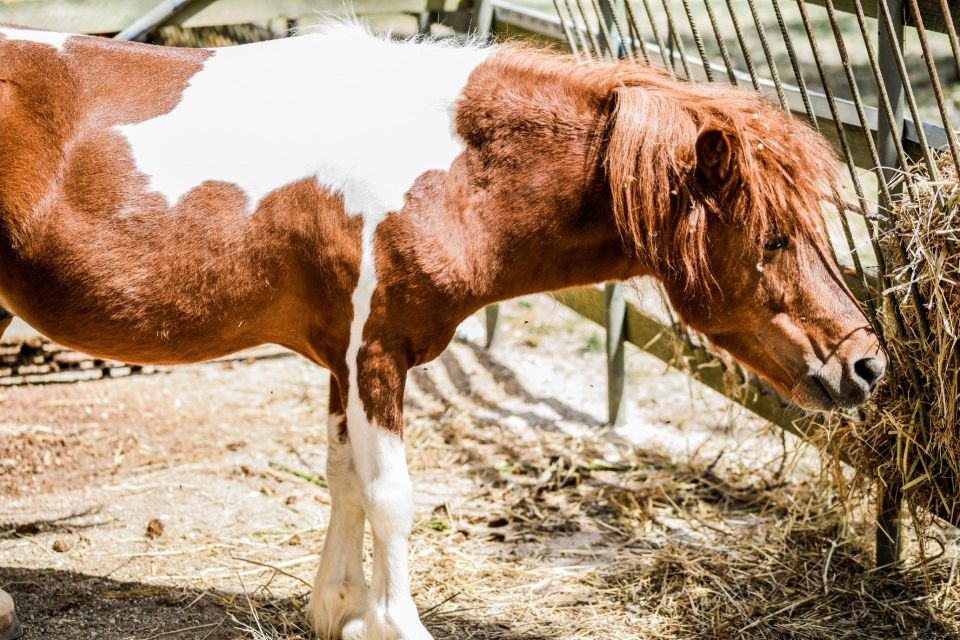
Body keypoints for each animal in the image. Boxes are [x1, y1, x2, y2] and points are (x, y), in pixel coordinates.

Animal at [0, 22, 884, 636]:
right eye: (774, 238)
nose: (868, 365)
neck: (445, 173)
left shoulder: (343, 360)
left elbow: (343, 478)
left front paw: (340, 610)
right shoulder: (377, 355)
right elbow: (391, 496)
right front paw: (397, 622)